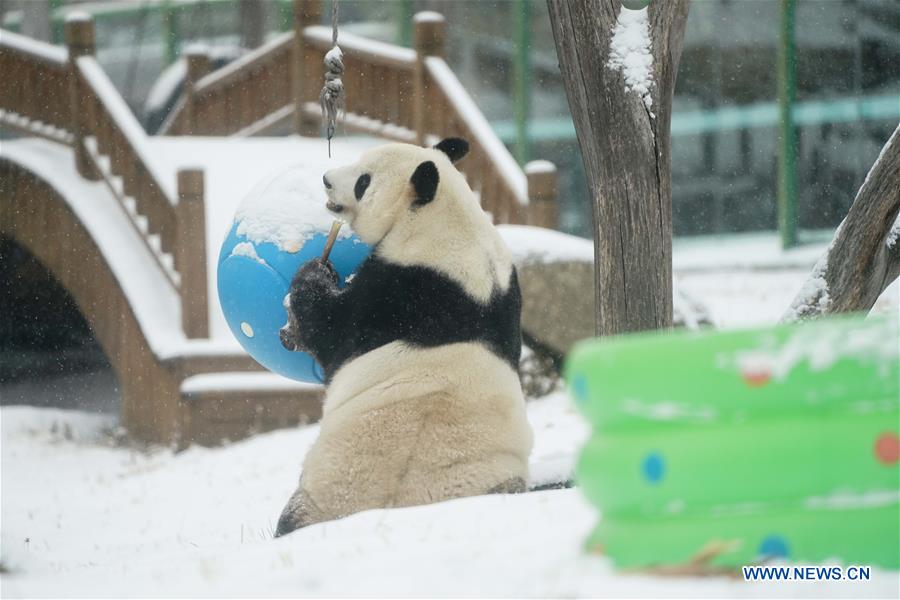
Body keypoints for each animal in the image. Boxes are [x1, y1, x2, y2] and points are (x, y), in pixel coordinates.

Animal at [272, 137, 528, 536]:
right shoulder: (505, 290)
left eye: (363, 181)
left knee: (292, 517)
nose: (327, 179)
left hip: (323, 493)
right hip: (499, 479)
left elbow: (330, 328)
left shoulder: (397, 294)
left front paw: (313, 276)